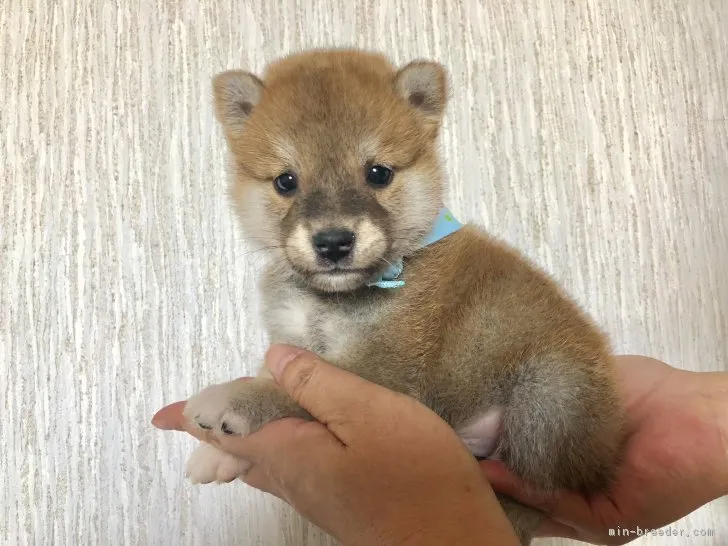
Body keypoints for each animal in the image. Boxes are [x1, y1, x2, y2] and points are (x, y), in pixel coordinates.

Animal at [183, 49, 624, 540]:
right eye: (286, 181)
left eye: (378, 173)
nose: (333, 242)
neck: (333, 299)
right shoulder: (292, 340)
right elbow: (269, 374)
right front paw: (217, 455)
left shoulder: (382, 367)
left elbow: (287, 393)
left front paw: (227, 401)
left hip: (547, 400)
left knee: (536, 492)